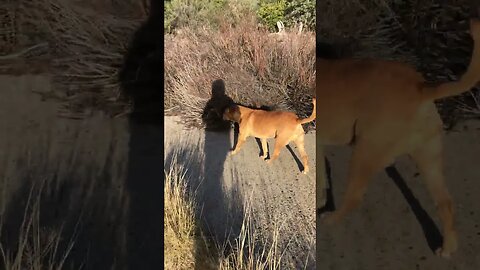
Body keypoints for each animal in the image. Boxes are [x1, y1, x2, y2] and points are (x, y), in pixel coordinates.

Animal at [316, 19, 480, 258]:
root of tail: (421, 88)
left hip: (365, 151)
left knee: (354, 197)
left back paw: (331, 220)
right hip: (429, 159)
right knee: (445, 203)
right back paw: (448, 248)